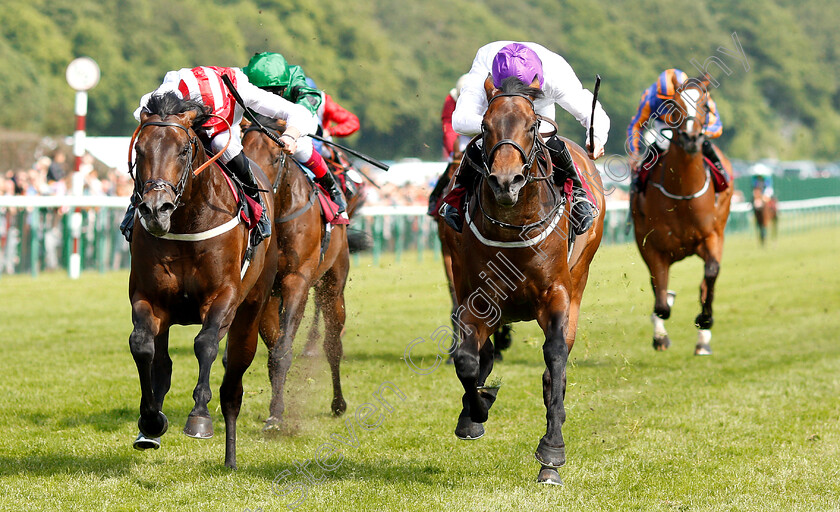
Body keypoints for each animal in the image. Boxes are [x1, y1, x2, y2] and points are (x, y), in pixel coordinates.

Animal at [128, 92, 278, 468]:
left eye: (184, 150)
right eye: (141, 150)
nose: (156, 209)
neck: (186, 223)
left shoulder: (223, 296)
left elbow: (206, 343)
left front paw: (199, 416)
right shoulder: (149, 298)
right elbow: (142, 347)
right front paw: (150, 421)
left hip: (251, 309)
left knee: (233, 386)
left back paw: (231, 458)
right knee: (162, 364)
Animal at [240, 114, 352, 430]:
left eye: (277, 156)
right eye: (242, 150)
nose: (254, 187)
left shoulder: (297, 281)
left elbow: (284, 349)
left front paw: (277, 416)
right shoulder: (266, 291)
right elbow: (274, 351)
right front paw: (275, 411)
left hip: (333, 285)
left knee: (332, 344)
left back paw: (338, 403)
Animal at [440, 78, 604, 486]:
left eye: (532, 127)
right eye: (485, 127)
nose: (505, 181)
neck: (513, 229)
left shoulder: (556, 295)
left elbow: (556, 358)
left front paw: (552, 453)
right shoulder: (477, 299)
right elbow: (467, 360)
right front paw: (476, 412)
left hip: (579, 281)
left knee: (555, 366)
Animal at [632, 78, 732, 356]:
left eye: (706, 106)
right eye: (674, 106)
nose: (691, 138)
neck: (683, 194)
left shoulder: (711, 237)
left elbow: (711, 274)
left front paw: (705, 320)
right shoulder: (651, 246)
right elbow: (661, 301)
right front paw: (661, 336)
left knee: (706, 283)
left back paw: (703, 341)